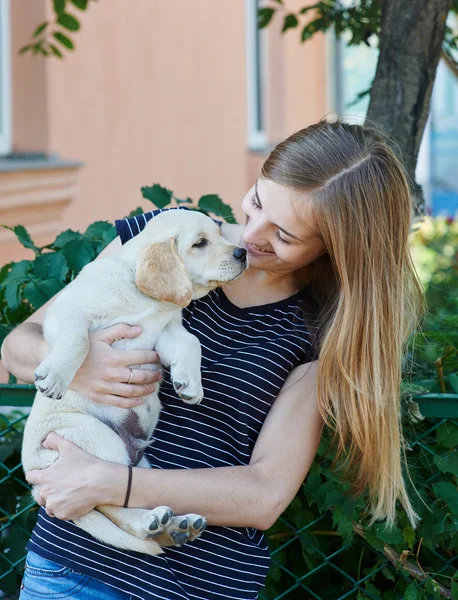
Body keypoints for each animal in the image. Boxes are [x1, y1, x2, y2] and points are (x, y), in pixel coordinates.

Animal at [21, 209, 247, 556]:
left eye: (221, 235)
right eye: (200, 243)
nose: (243, 253)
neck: (143, 295)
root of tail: (34, 482)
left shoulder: (167, 331)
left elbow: (192, 342)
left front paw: (190, 383)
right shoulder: (69, 309)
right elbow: (78, 340)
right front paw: (56, 376)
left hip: (138, 465)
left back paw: (176, 527)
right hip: (95, 440)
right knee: (105, 503)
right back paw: (150, 522)